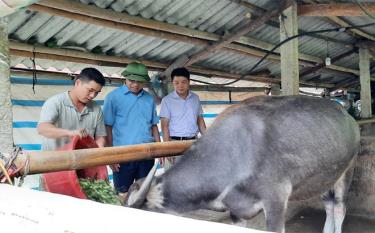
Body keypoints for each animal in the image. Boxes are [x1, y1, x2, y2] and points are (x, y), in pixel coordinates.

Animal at [125, 95, 362, 233]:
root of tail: (348, 116)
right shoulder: (237, 211)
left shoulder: (276, 200)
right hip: (325, 177)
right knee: (329, 205)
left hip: (348, 169)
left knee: (339, 207)